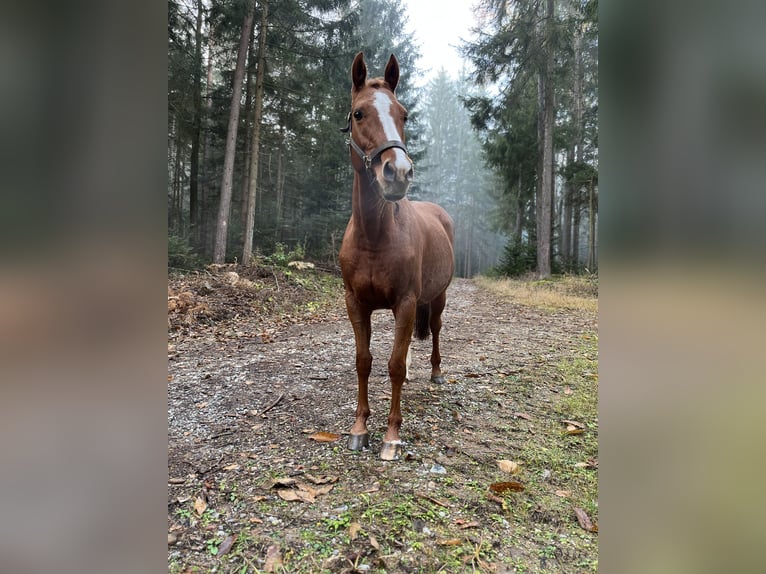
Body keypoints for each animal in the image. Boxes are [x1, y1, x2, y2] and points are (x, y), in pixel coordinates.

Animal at [339, 52, 455, 461]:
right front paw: (359, 428)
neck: (375, 237)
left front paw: (391, 436)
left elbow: (394, 366)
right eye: (358, 113)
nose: (398, 172)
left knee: (435, 329)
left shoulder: (405, 303)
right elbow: (364, 362)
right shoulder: (356, 303)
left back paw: (436, 372)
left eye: (403, 114)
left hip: (438, 297)